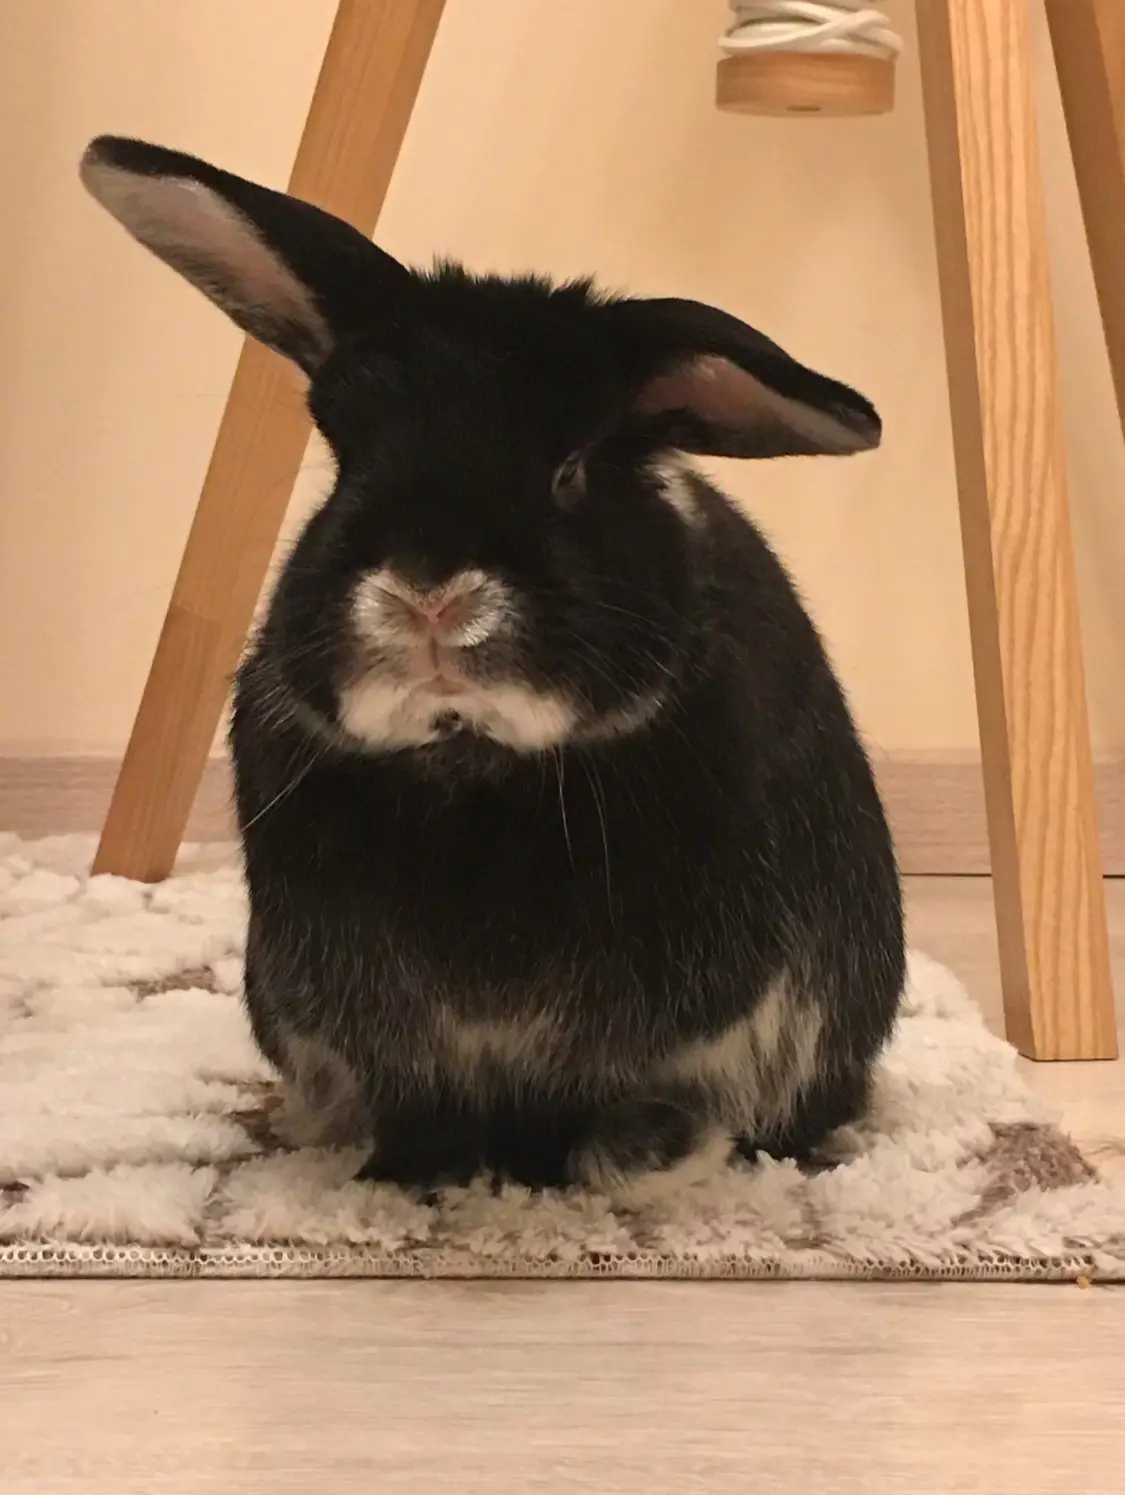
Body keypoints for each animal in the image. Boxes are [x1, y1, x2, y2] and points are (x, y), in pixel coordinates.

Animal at [81, 135, 905, 1198]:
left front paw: (626, 1158)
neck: (471, 758)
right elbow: (417, 1107)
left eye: (570, 470)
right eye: (345, 457)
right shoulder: (379, 1029)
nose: (427, 592)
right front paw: (401, 1178)